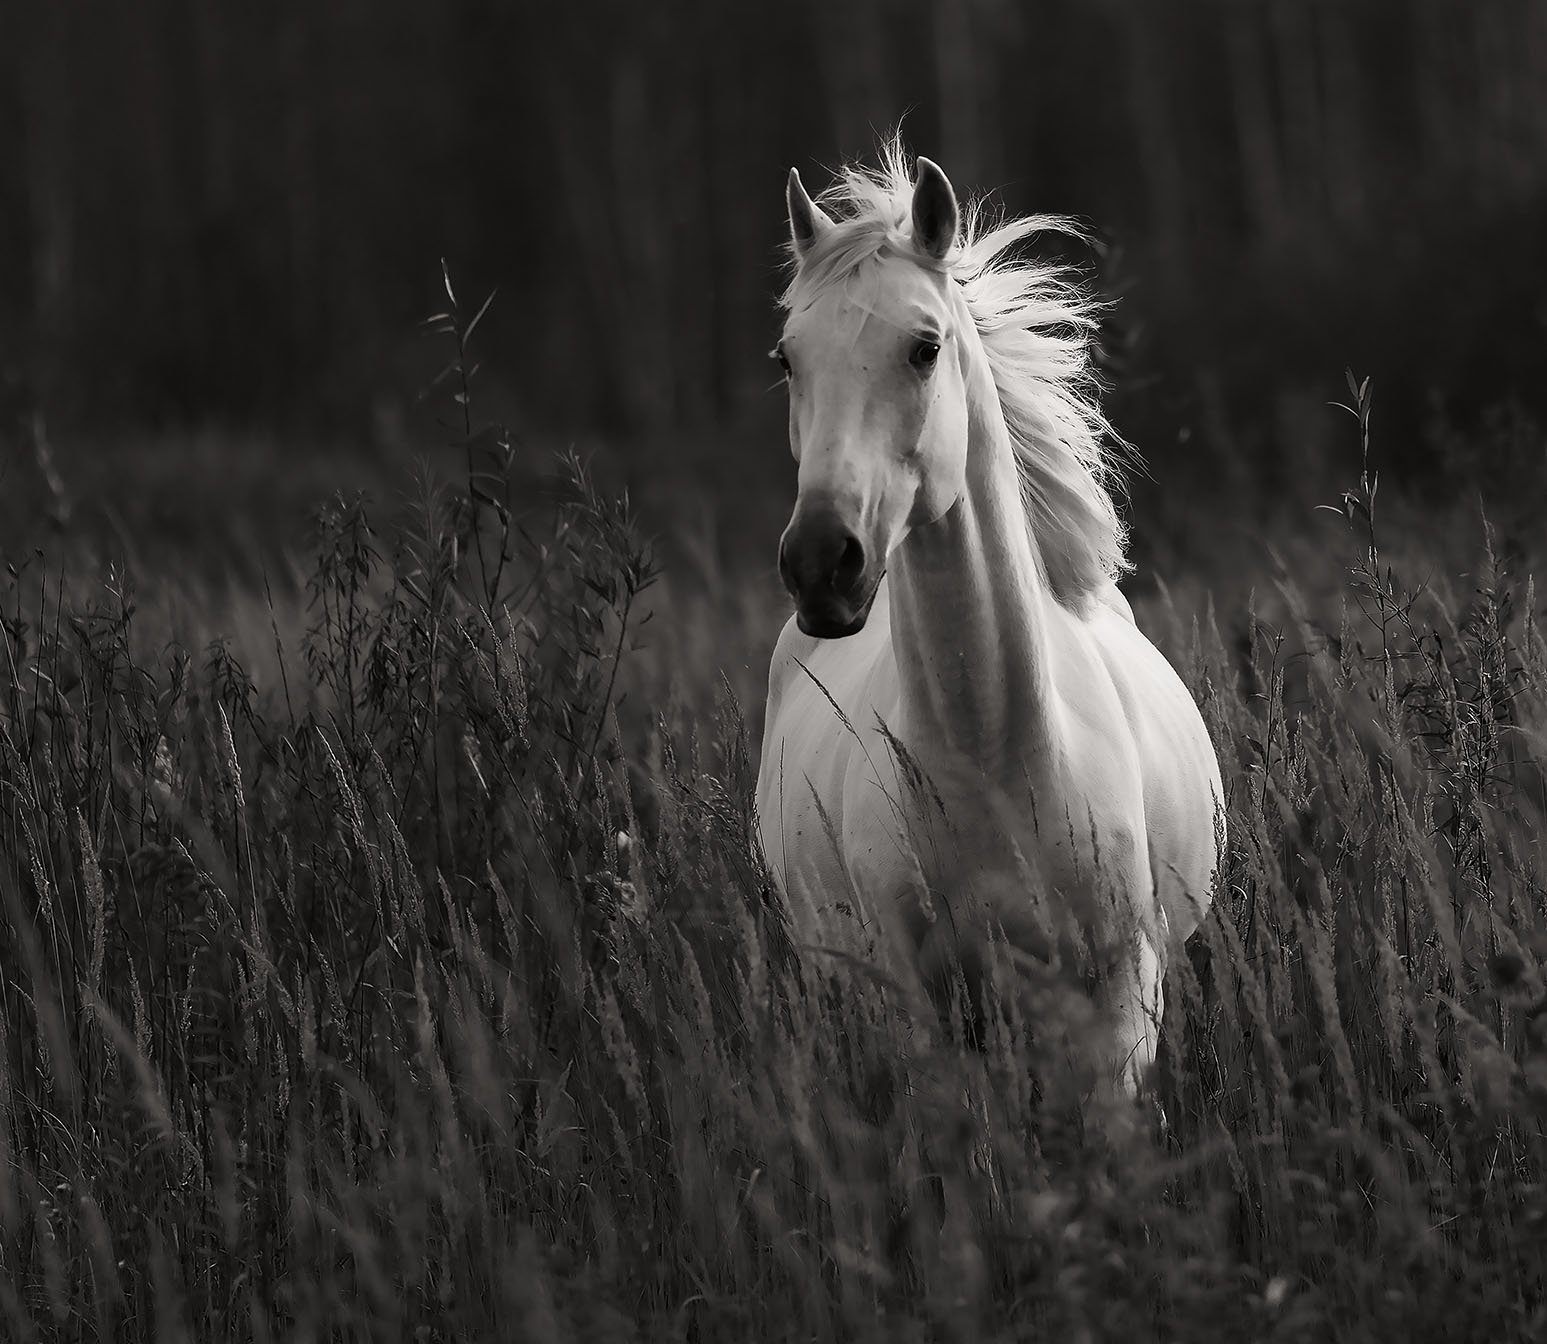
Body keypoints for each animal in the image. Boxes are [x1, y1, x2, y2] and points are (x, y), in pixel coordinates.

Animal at [754, 141, 1225, 1094]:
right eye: (788, 358)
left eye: (924, 347)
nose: (821, 565)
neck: (996, 760)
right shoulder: (919, 1009)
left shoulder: (1121, 1001)